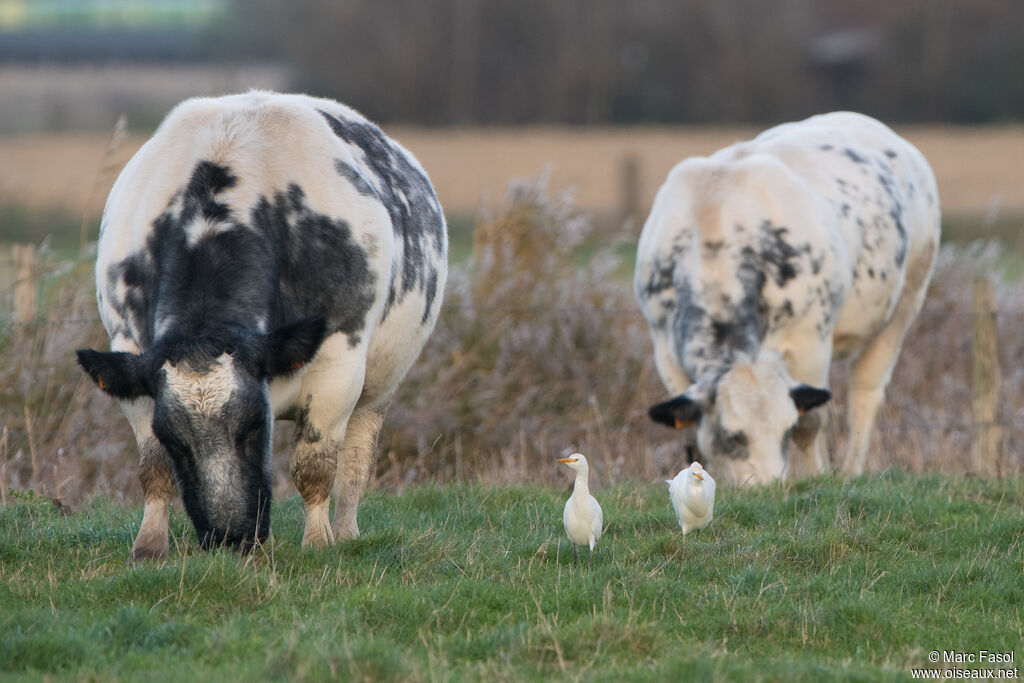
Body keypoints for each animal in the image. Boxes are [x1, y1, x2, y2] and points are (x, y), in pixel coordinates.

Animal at [77, 92, 446, 561]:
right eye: (176, 440)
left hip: (379, 385)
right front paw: (149, 546)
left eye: (254, 425)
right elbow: (153, 466)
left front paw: (318, 543)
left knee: (356, 460)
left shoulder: (338, 362)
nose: (229, 537)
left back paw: (346, 532)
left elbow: (315, 466)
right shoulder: (131, 353)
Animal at [634, 112, 937, 483]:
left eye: (786, 429)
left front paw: (815, 477)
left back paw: (849, 471)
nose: (768, 487)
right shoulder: (665, 348)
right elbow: (690, 432)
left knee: (865, 394)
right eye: (732, 435)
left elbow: (812, 421)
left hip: (904, 304)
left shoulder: (811, 342)